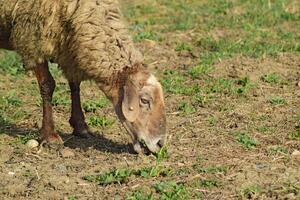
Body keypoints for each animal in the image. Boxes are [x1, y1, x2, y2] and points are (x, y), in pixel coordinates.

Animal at [0, 0, 166, 153]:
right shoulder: (33, 38)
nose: (160, 144)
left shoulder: (68, 47)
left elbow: (75, 84)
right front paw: (50, 136)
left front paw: (80, 127)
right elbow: (47, 85)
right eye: (144, 100)